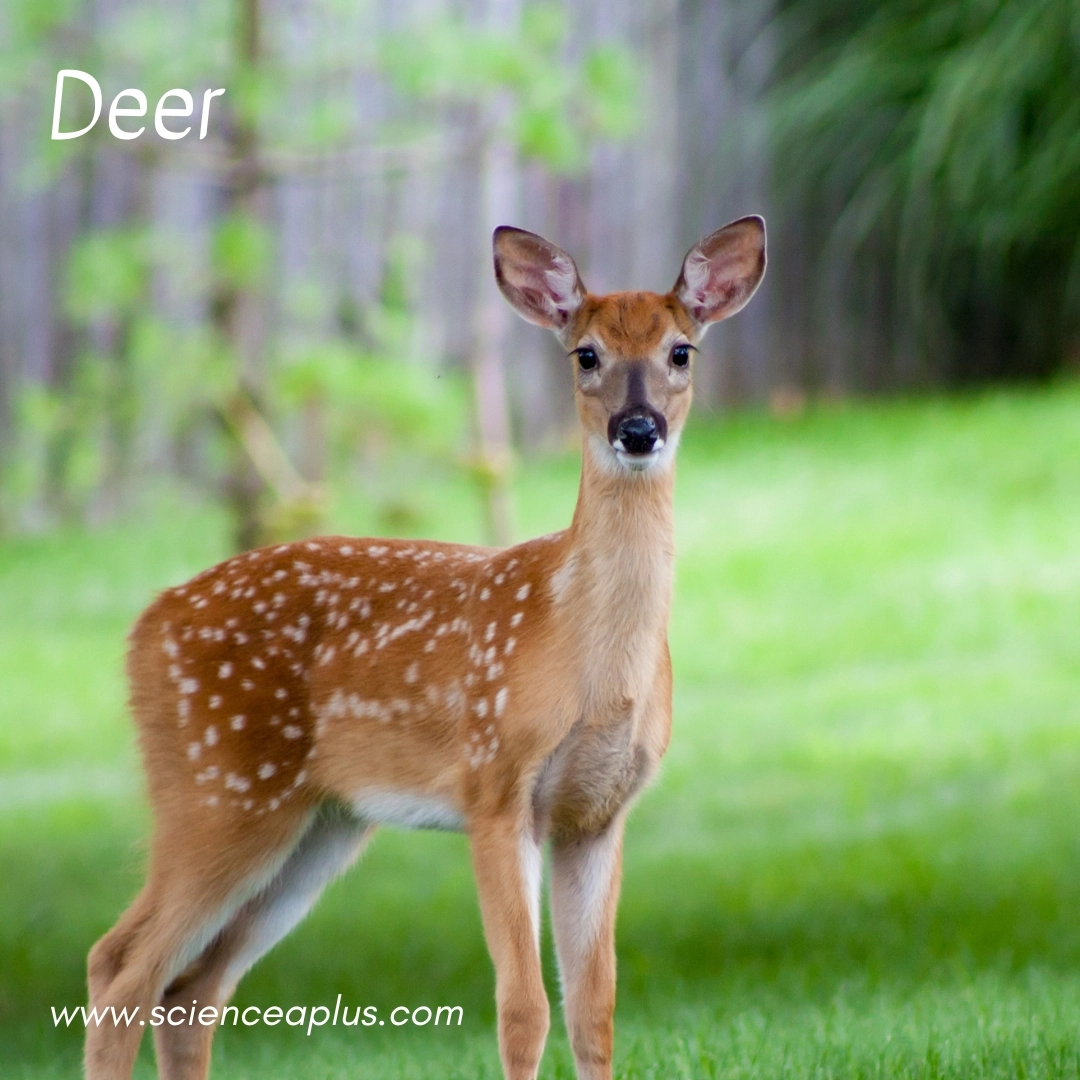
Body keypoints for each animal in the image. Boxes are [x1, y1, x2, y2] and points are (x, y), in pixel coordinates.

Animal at [84, 215, 766, 1080]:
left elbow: (595, 1010)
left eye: (682, 351)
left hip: (319, 826)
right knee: (120, 964)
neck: (587, 657)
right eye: (585, 355)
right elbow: (523, 1009)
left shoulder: (599, 815)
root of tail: (144, 626)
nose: (637, 431)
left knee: (191, 987)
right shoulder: (495, 784)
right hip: (216, 790)